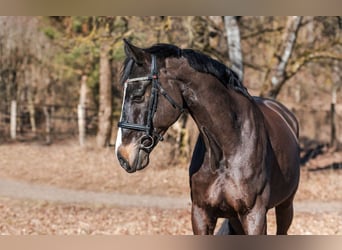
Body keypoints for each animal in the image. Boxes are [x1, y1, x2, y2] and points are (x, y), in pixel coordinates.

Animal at [115, 39, 300, 234]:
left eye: (138, 95)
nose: (122, 155)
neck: (228, 147)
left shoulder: (254, 216)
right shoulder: (201, 213)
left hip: (285, 206)